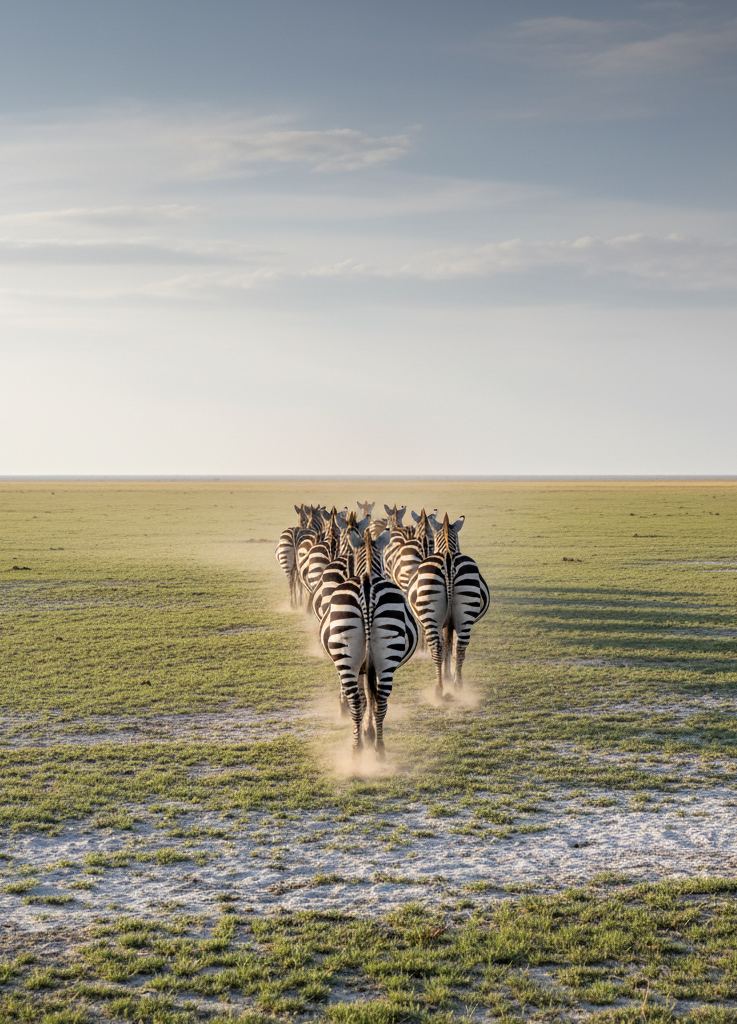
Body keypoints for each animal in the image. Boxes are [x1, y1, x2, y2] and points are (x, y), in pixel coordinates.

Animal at [320, 529, 418, 757]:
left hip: (351, 654)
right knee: (378, 700)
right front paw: (368, 731)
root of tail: (366, 583)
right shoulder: (368, 666)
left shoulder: (365, 667)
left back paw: (362, 748)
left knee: (361, 701)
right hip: (382, 657)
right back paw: (372, 748)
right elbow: (368, 698)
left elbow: (366, 698)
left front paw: (367, 731)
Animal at [407, 513, 489, 696]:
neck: (447, 549)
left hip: (431, 615)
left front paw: (446, 676)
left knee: (437, 648)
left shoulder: (446, 623)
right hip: (465, 613)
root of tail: (448, 558)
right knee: (460, 647)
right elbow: (449, 646)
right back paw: (458, 685)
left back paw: (439, 688)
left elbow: (446, 646)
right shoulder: (451, 623)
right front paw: (449, 676)